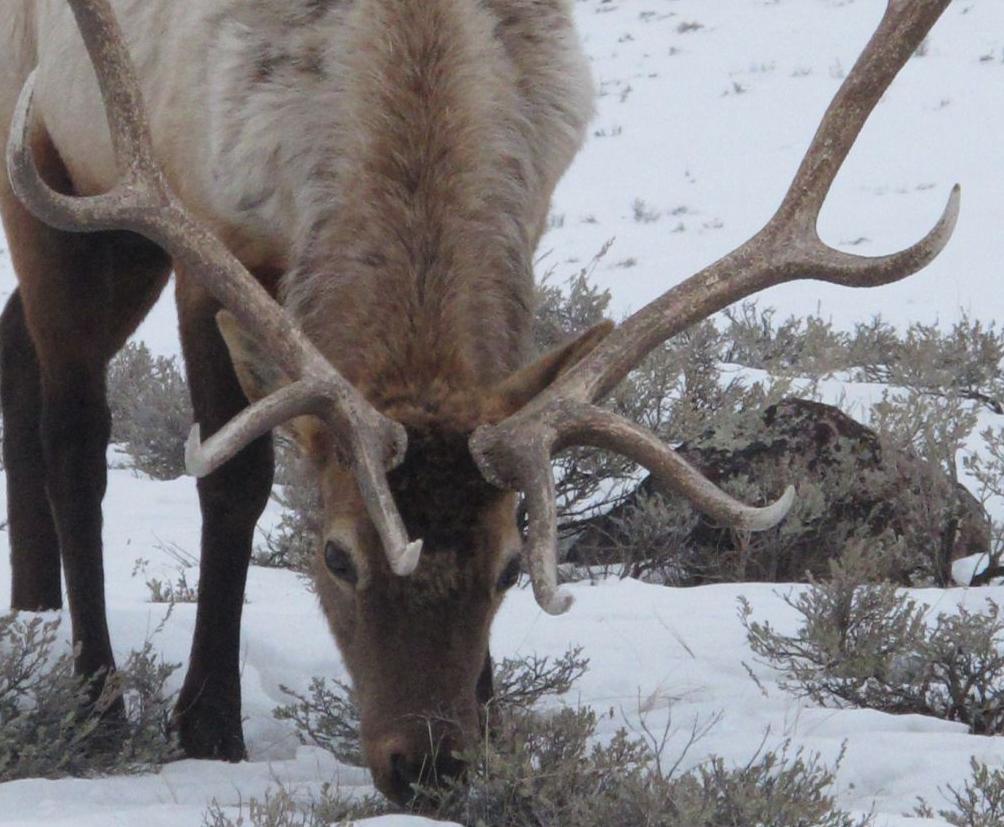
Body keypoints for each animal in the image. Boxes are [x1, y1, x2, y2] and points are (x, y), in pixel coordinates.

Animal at [0, 0, 957, 806]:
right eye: (335, 556)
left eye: (507, 567)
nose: (426, 764)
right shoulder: (208, 234)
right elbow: (232, 482)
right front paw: (207, 723)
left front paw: (496, 723)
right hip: (59, 178)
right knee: (74, 433)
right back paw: (96, 699)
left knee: (15, 339)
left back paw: (32, 606)